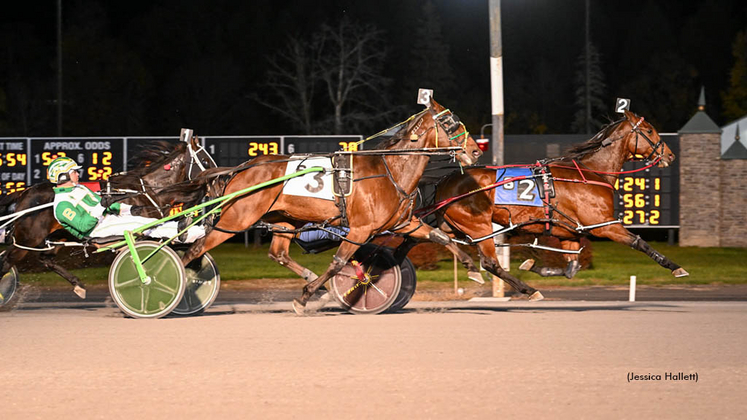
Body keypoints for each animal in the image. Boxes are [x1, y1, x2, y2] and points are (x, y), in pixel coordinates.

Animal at [0, 133, 216, 300]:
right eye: (205, 160)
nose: (216, 176)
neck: (145, 190)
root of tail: (23, 193)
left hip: (57, 237)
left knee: (46, 259)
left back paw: (78, 284)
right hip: (27, 240)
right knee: (7, 262)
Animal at [184, 99, 482, 316]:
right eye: (449, 122)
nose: (476, 150)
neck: (389, 171)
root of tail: (242, 168)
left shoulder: (403, 223)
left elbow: (441, 236)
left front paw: (473, 268)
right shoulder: (360, 230)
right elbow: (338, 263)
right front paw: (306, 297)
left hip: (284, 220)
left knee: (278, 254)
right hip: (237, 219)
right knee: (196, 249)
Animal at [432, 109, 688, 298]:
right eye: (649, 130)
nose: (670, 155)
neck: (591, 173)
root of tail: (445, 181)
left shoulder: (570, 235)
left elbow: (571, 269)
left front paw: (532, 265)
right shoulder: (604, 225)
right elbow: (639, 242)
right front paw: (675, 267)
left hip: (454, 226)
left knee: (441, 238)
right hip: (479, 227)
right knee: (490, 263)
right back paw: (528, 289)